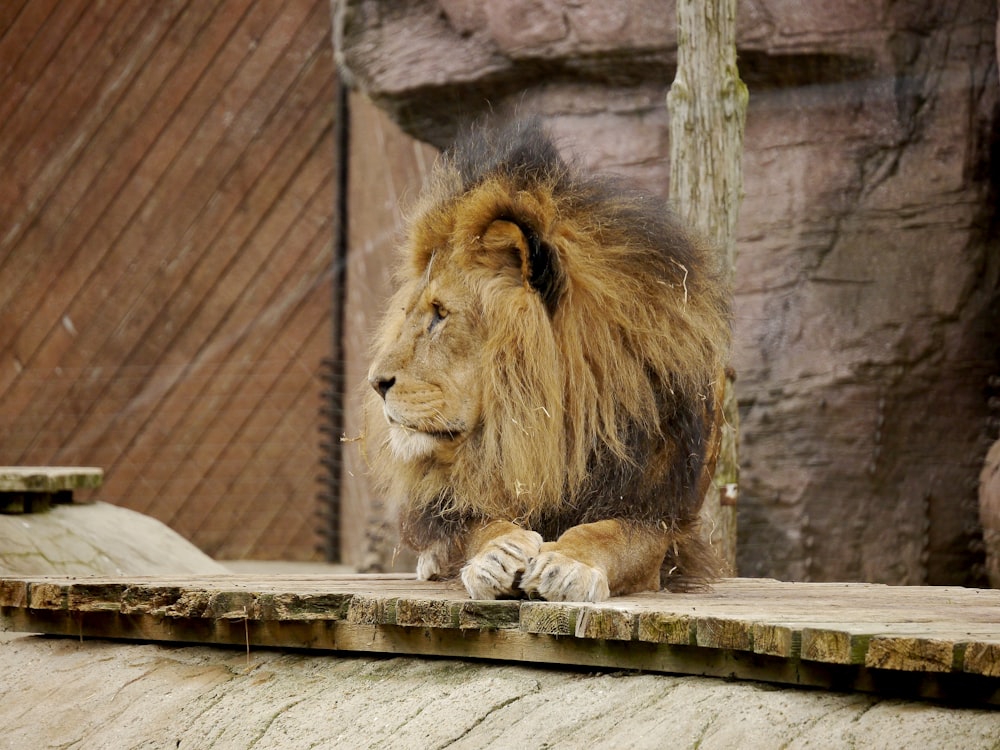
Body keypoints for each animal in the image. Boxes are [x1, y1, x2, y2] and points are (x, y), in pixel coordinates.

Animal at [364, 119, 732, 604]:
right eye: (411, 313)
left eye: (440, 314)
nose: (375, 382)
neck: (554, 426)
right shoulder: (466, 501)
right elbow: (479, 526)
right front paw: (497, 553)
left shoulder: (656, 514)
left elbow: (609, 534)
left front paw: (568, 564)